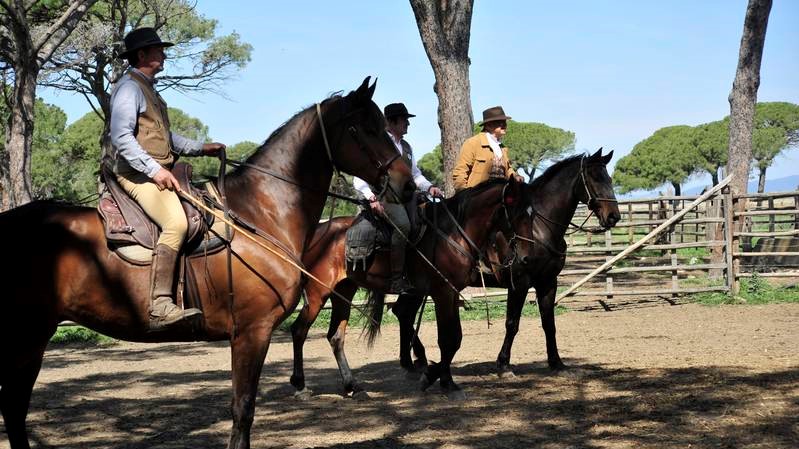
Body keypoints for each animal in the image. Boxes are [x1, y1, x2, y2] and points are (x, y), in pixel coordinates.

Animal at [0, 77, 413, 449]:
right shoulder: (252, 332)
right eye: (365, 129)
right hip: (28, 337)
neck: (259, 214)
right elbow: (243, 410)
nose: (406, 184)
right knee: (14, 409)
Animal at [289, 176, 532, 399]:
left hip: (343, 292)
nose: (524, 258)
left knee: (336, 337)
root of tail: (316, 233)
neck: (453, 234)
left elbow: (455, 338)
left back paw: (352, 386)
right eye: (519, 214)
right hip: (317, 293)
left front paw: (439, 377)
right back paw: (300, 385)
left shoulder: (452, 293)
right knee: (299, 330)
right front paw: (442, 381)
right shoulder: (443, 294)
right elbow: (448, 339)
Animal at [393, 148, 621, 378]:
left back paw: (412, 361)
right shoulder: (519, 283)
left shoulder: (548, 282)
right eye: (595, 178)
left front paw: (556, 363)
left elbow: (549, 323)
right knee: (403, 312)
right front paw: (503, 364)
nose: (613, 217)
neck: (539, 229)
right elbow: (512, 323)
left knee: (402, 312)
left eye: (609, 179)